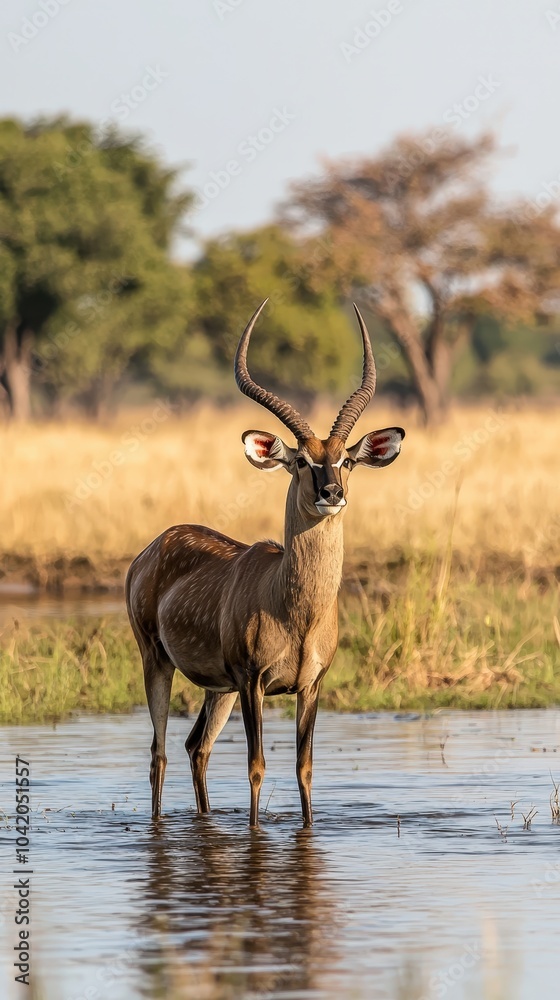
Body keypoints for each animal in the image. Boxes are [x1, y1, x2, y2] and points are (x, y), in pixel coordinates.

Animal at [126, 300, 404, 828]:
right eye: (299, 461)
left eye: (346, 460)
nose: (331, 493)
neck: (296, 609)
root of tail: (154, 546)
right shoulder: (253, 682)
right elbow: (256, 767)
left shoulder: (309, 686)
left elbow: (304, 769)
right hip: (160, 664)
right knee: (159, 753)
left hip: (219, 689)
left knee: (196, 747)